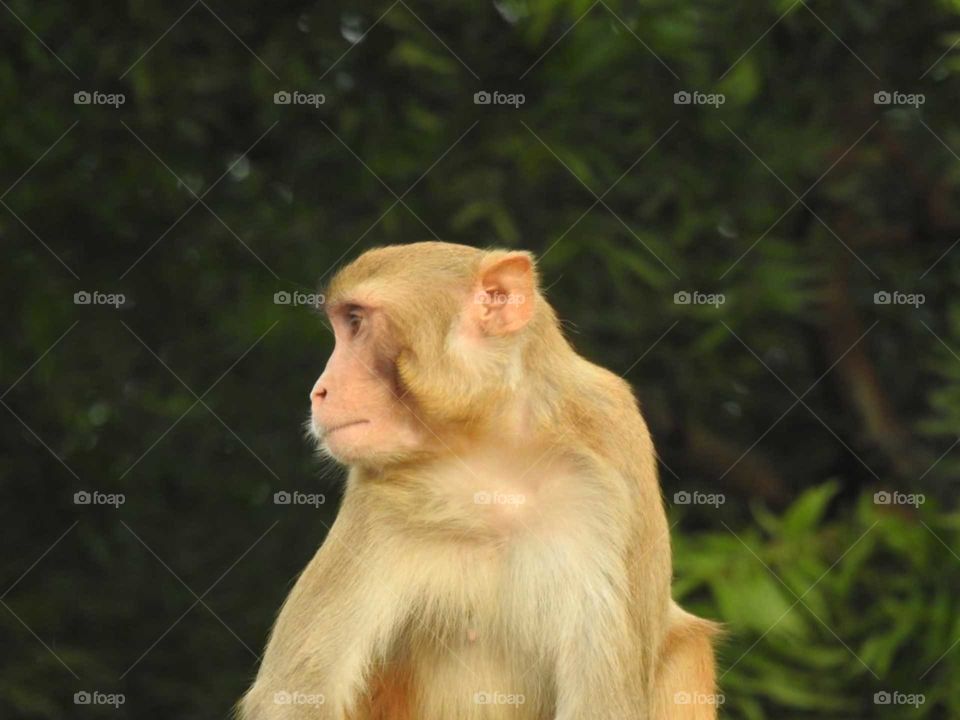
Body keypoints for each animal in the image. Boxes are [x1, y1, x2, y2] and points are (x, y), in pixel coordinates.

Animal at [238, 242, 719, 720]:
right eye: (343, 324)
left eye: (355, 322)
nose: (319, 391)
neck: (492, 451)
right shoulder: (376, 493)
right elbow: (297, 696)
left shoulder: (613, 445)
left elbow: (604, 702)